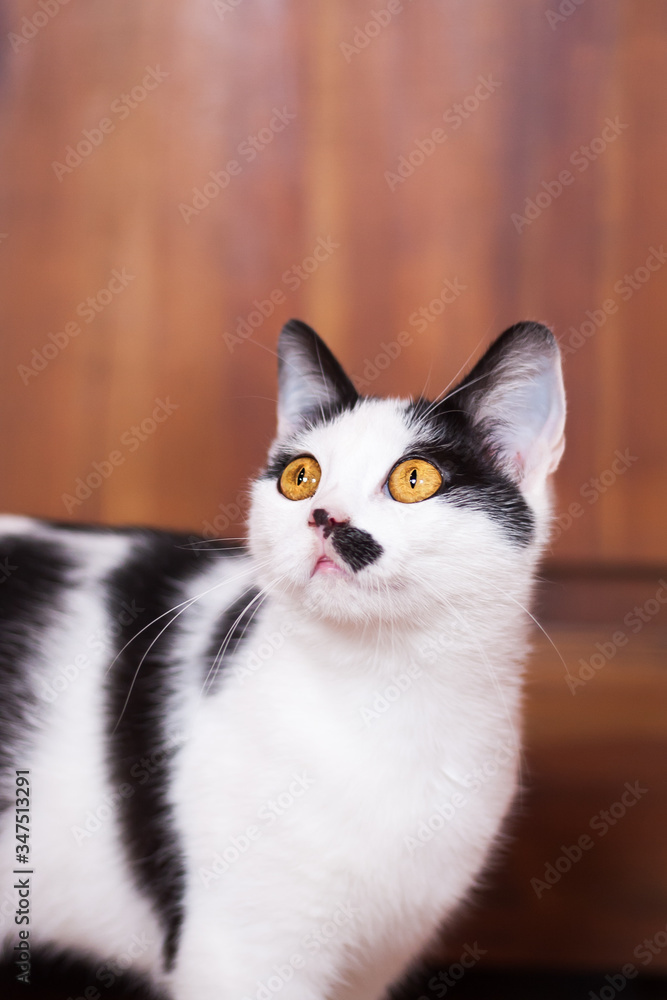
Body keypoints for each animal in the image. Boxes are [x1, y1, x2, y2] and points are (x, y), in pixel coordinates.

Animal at [0, 322, 564, 1000]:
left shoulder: (376, 960)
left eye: (415, 479)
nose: (324, 516)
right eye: (301, 476)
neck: (381, 694)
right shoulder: (243, 957)